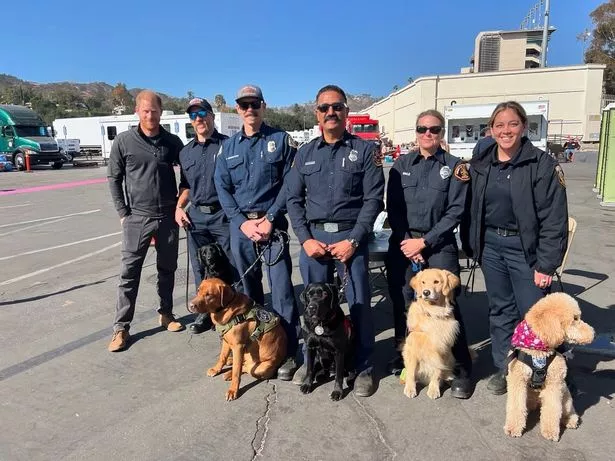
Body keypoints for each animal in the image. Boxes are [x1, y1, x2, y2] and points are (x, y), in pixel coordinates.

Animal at [402, 268, 464, 398]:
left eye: (436, 282)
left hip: (450, 356)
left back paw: (448, 376)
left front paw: (434, 389)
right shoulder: (413, 349)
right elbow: (411, 371)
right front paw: (410, 388)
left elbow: (437, 371)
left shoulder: (442, 349)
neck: (433, 313)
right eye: (423, 282)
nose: (426, 292)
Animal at [506, 292, 596, 440]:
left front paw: (550, 432)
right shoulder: (517, 380)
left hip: (565, 396)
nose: (593, 333)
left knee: (568, 411)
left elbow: (552, 410)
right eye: (575, 319)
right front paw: (513, 428)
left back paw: (570, 420)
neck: (537, 350)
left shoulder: (554, 384)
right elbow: (516, 406)